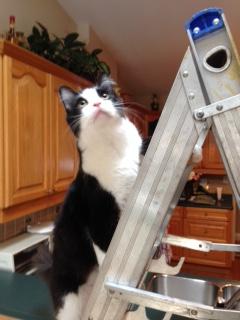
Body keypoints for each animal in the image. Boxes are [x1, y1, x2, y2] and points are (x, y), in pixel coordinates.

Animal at [49, 76, 142, 318]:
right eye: (82, 102)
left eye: (104, 94)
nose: (98, 104)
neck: (112, 145)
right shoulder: (99, 215)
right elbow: (109, 252)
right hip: (69, 300)